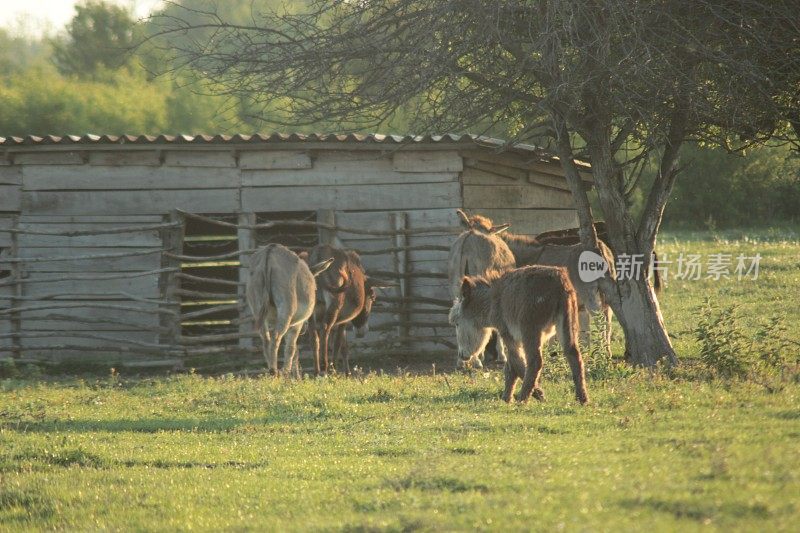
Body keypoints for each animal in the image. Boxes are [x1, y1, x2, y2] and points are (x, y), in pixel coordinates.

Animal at [450, 266, 588, 404]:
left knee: (535, 361)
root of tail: (559, 280)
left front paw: (538, 394)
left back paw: (523, 399)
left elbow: (516, 364)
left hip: (530, 328)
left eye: (457, 324)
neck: (492, 300)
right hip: (567, 323)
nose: (461, 356)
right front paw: (506, 399)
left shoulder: (507, 333)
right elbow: (511, 367)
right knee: (574, 356)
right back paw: (582, 399)